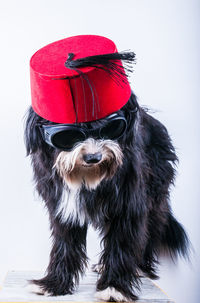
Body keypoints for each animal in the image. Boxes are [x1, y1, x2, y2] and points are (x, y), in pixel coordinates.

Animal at [23, 91, 189, 302]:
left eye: (112, 127)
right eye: (67, 135)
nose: (93, 157)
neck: (87, 178)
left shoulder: (128, 207)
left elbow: (121, 242)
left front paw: (115, 287)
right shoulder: (62, 207)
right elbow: (64, 244)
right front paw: (53, 283)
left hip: (154, 194)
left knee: (150, 230)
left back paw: (140, 266)